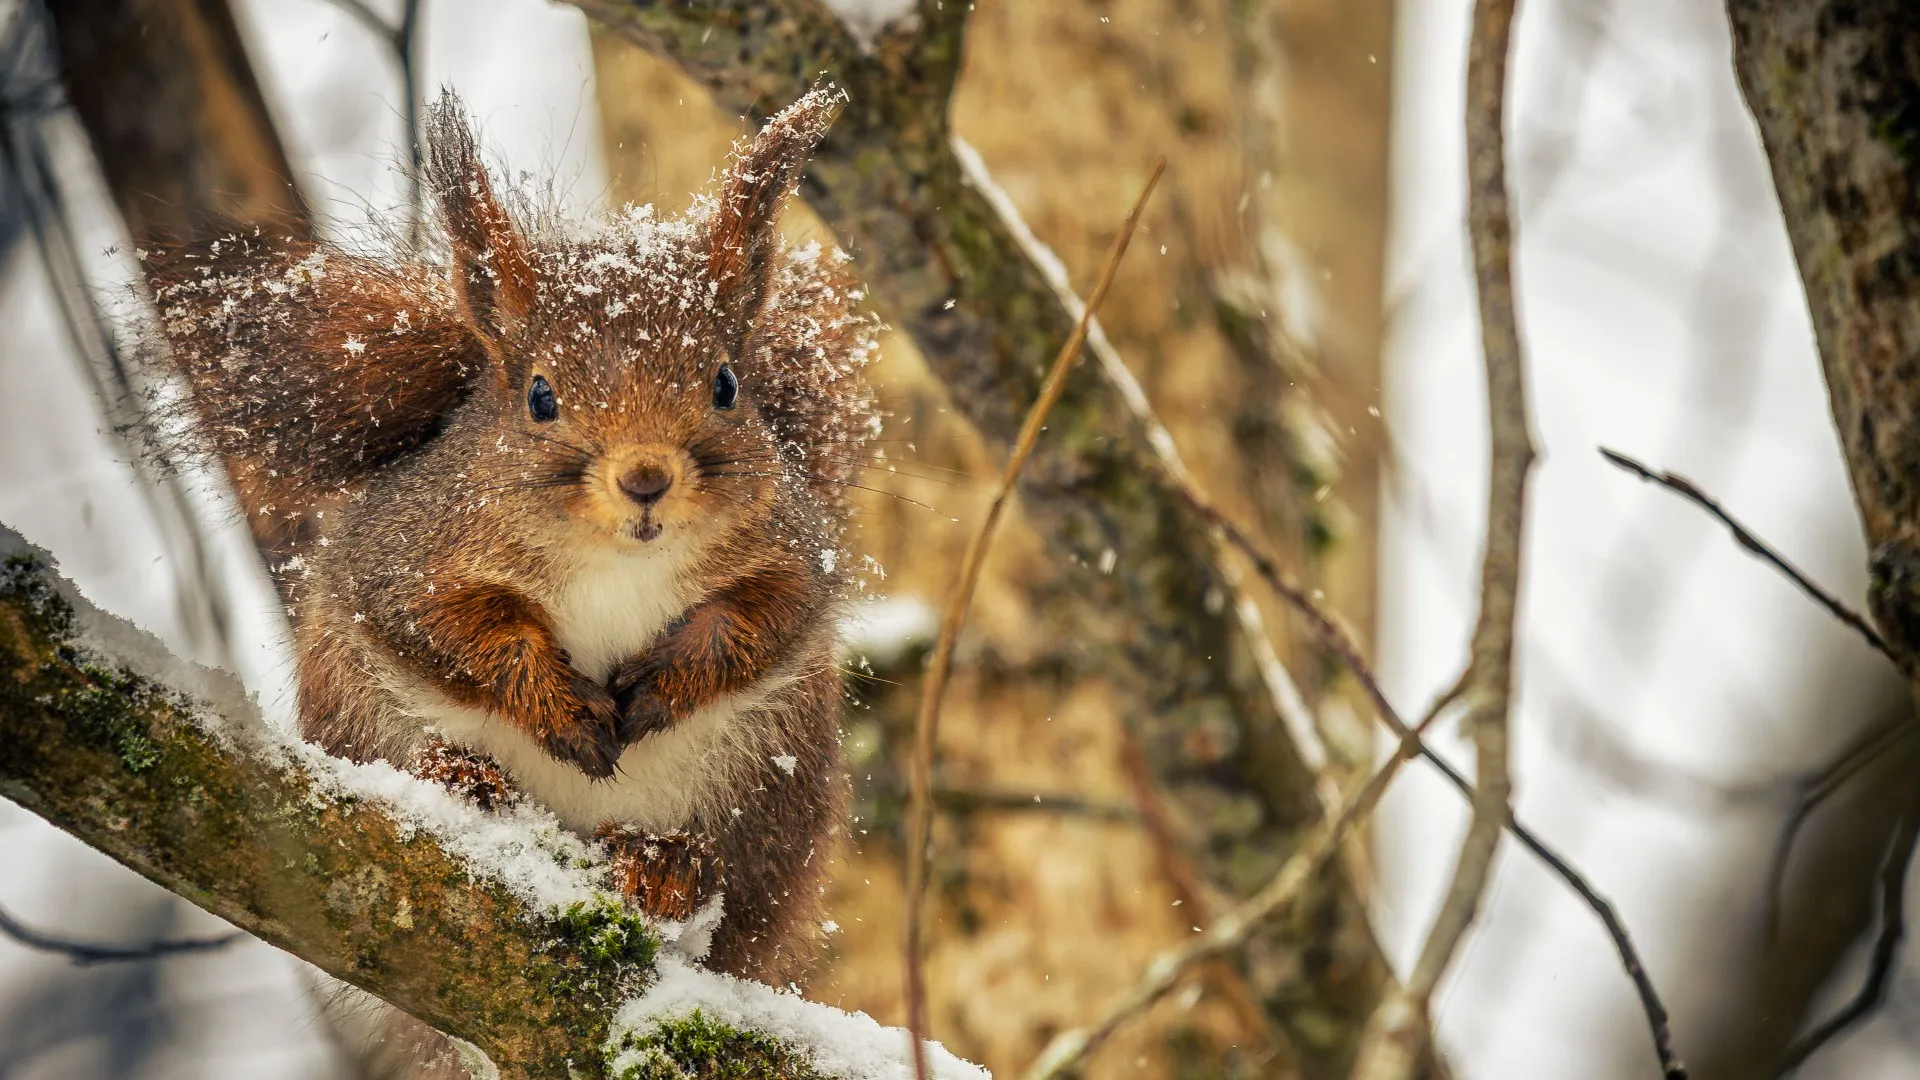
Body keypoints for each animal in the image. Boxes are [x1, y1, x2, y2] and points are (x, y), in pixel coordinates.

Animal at [142, 86, 878, 980]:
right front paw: (560, 707)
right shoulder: (408, 553)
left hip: (766, 796)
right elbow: (455, 630)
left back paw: (667, 865)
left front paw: (663, 684)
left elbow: (764, 619)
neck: (616, 559)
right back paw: (458, 778)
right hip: (361, 716)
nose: (645, 478)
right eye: (540, 396)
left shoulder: (792, 552)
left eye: (727, 385)